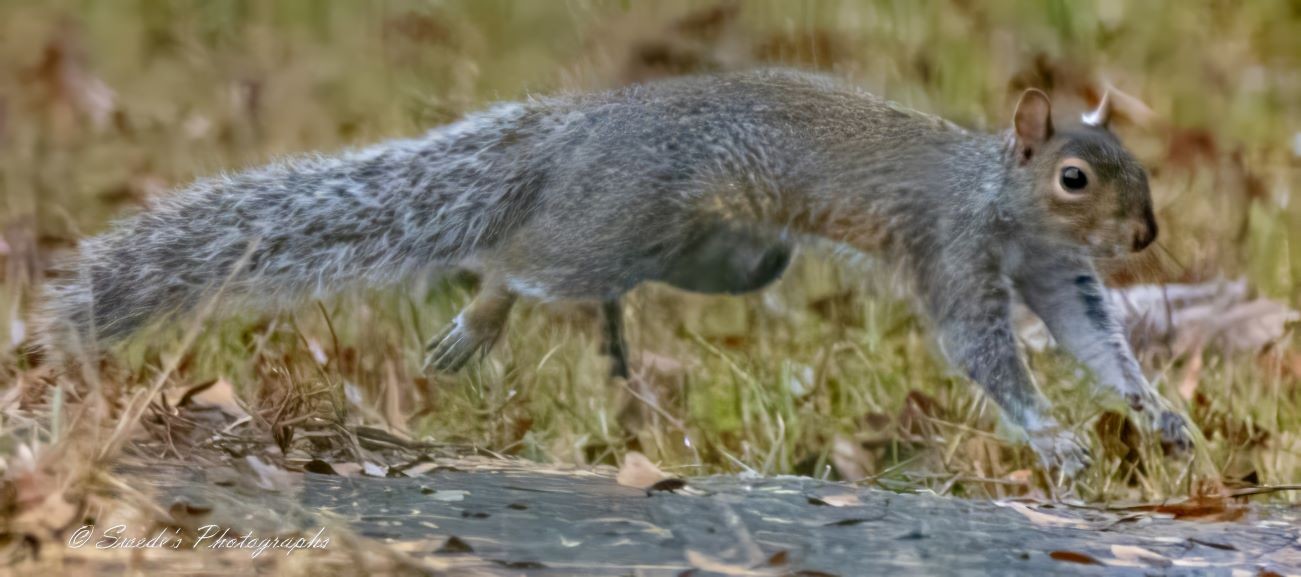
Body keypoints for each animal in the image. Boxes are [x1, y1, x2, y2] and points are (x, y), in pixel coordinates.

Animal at [38, 69, 1196, 475]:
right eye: (1075, 175)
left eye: (1136, 166)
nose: (1143, 238)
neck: (1001, 201)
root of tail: (586, 122)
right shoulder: (955, 250)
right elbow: (983, 348)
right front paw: (1050, 434)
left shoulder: (1052, 274)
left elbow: (1092, 338)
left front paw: (1155, 411)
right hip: (604, 224)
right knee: (514, 262)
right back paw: (478, 326)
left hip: (721, 253)